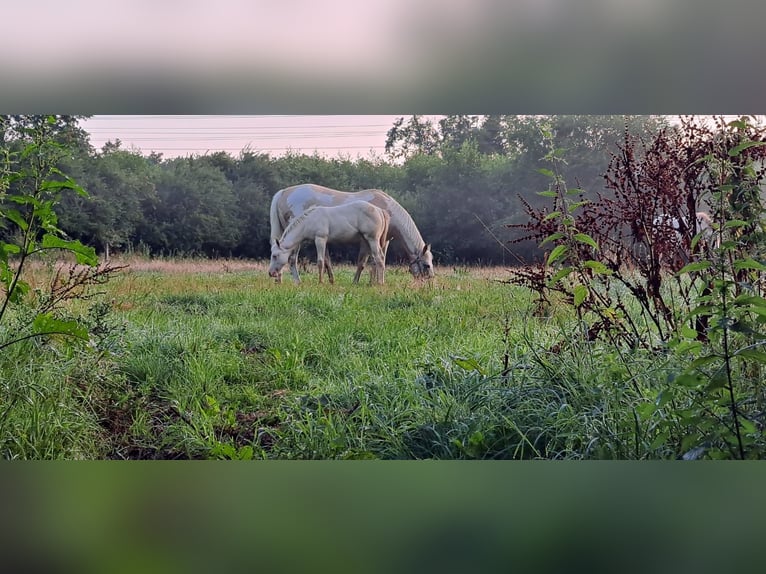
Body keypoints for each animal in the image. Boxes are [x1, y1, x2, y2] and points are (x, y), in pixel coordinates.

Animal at [270, 183, 433, 284]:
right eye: (426, 265)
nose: (430, 282)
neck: (387, 210)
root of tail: (283, 192)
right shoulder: (368, 241)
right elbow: (366, 261)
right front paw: (368, 282)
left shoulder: (383, 240)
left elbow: (374, 261)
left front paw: (372, 281)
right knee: (292, 259)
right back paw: (297, 281)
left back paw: (279, 280)